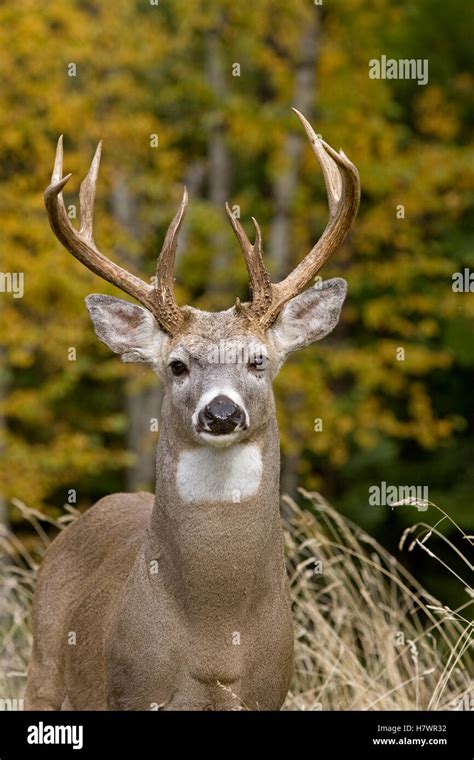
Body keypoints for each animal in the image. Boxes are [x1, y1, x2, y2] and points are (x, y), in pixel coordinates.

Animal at [25, 109, 360, 711]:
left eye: (257, 360)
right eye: (178, 365)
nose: (221, 413)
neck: (216, 640)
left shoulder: (268, 692)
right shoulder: (132, 691)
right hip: (41, 667)